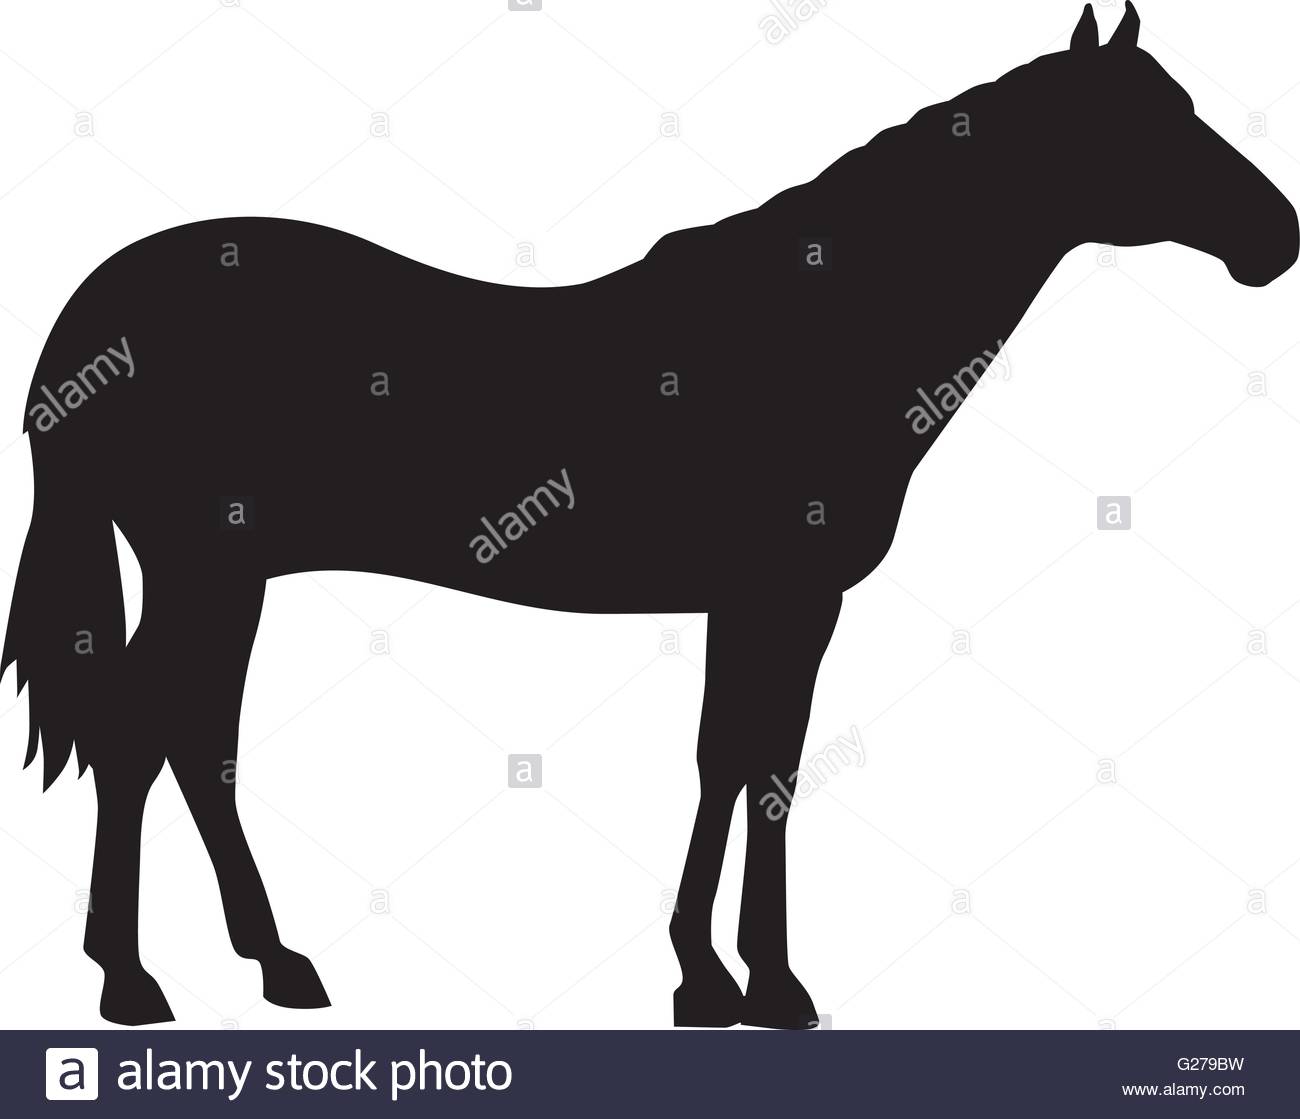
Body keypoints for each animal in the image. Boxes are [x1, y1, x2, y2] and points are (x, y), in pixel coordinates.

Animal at [3, 2, 1295, 1028]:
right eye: (1147, 124)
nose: (1276, 239)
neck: (818, 332)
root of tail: (88, 328)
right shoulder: (788, 593)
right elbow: (758, 764)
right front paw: (761, 985)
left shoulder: (754, 600)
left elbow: (732, 759)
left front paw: (709, 979)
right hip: (202, 568)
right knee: (139, 737)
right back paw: (131, 983)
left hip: (230, 574)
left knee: (190, 739)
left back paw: (273, 961)